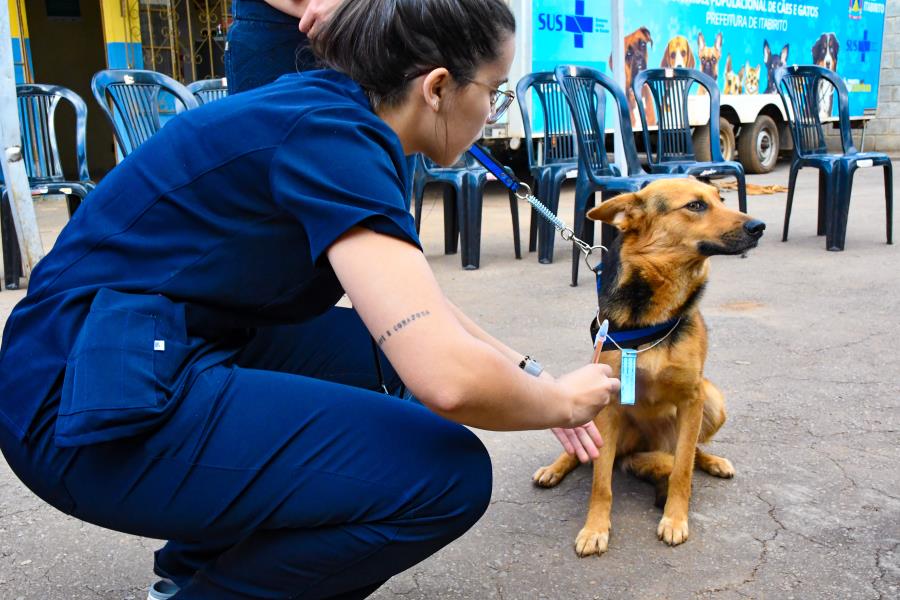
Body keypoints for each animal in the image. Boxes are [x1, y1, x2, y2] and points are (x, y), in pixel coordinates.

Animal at [536, 179, 768, 556]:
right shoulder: (609, 403)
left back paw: (712, 462)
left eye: (721, 199)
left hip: (711, 399)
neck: (658, 309)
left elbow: (683, 471)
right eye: (695, 206)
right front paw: (595, 528)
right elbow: (601, 482)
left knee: (689, 452)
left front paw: (675, 518)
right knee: (585, 451)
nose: (759, 227)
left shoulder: (692, 399)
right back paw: (555, 468)